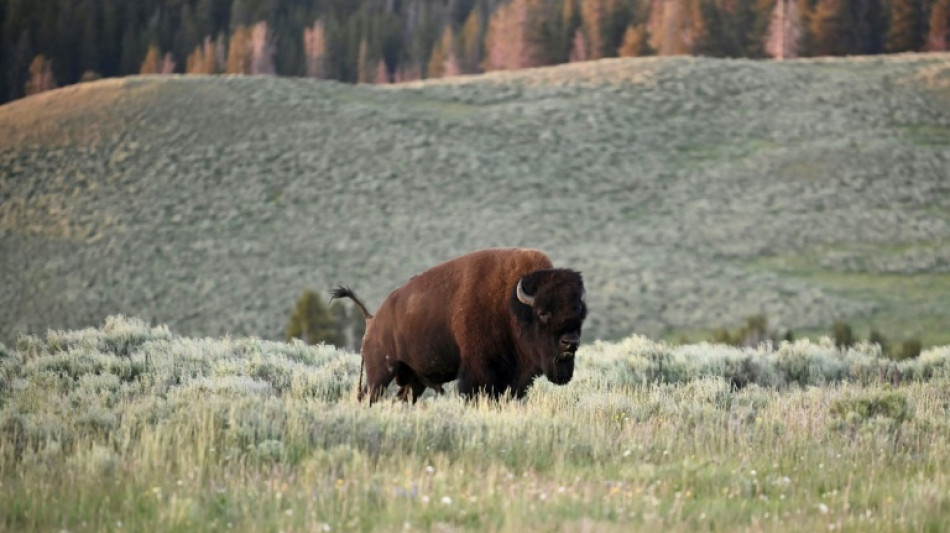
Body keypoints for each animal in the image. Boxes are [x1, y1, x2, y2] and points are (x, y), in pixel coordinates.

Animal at [330, 248, 587, 402]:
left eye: (581, 314)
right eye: (543, 313)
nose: (570, 342)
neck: (509, 304)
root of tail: (372, 319)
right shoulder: (478, 373)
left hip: (413, 379)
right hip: (380, 373)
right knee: (370, 396)